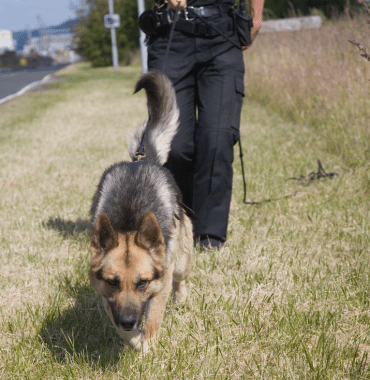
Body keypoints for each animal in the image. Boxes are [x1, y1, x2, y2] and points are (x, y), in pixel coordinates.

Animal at [90, 70, 194, 350]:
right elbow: (121, 328)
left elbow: (153, 317)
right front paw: (134, 341)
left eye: (142, 283)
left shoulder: (161, 282)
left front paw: (147, 345)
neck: (129, 224)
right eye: (113, 282)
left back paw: (181, 300)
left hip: (180, 261)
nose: (128, 321)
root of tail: (142, 160)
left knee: (181, 280)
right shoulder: (106, 297)